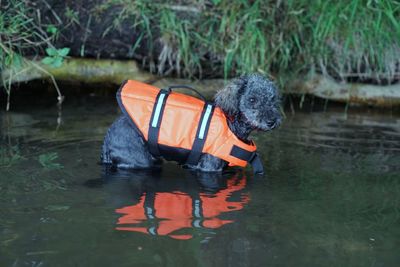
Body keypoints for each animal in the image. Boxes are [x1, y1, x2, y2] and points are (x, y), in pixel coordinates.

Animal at [100, 74, 282, 173]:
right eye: (252, 99)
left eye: (273, 99)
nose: (272, 121)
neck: (232, 125)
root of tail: (107, 137)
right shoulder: (209, 166)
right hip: (140, 160)